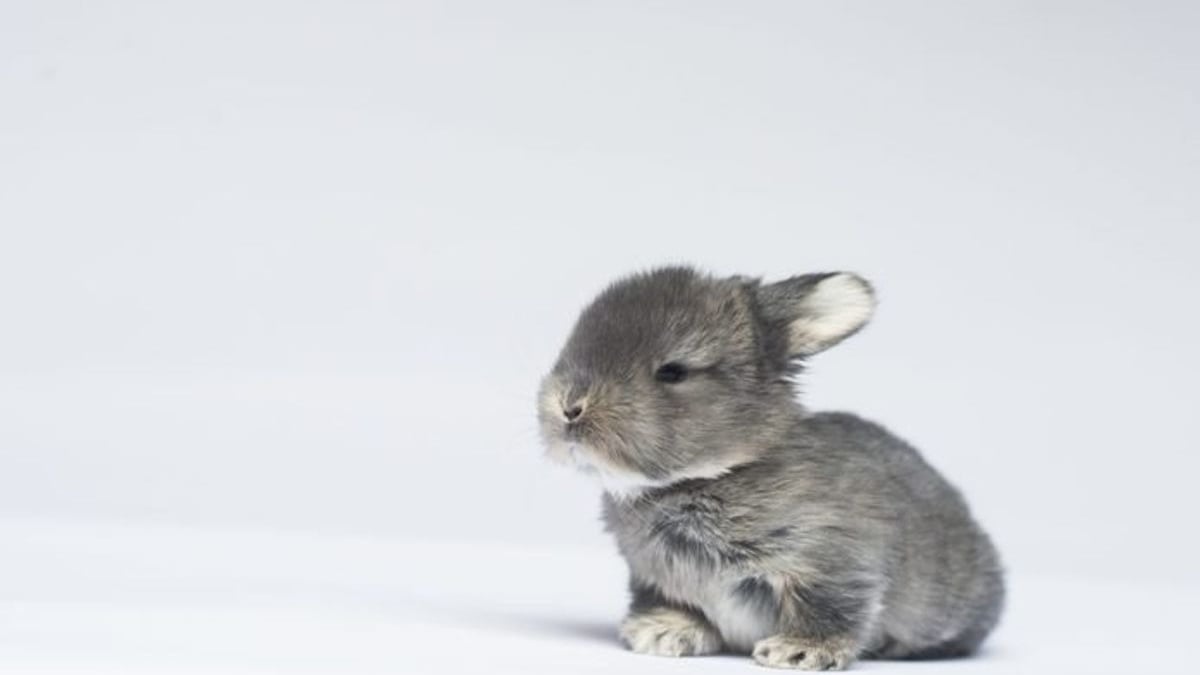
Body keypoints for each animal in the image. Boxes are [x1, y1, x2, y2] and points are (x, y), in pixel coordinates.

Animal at [535, 264, 1003, 667]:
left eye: (672, 372)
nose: (568, 406)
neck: (717, 473)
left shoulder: (831, 565)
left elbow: (831, 607)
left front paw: (799, 651)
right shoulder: (653, 577)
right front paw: (663, 632)